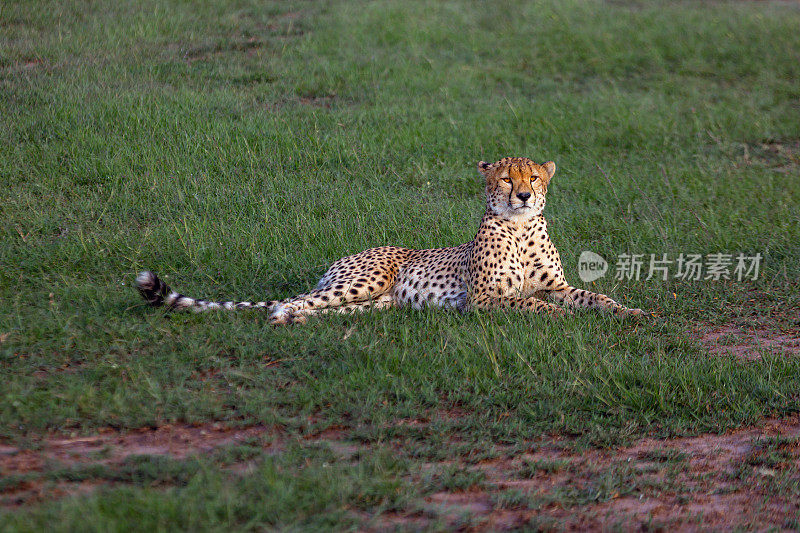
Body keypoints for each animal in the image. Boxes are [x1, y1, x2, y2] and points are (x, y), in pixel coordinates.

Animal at [134, 156, 640, 322]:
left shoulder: (557, 284)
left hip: (376, 303)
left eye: (533, 177)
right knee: (288, 301)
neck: (518, 228)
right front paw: (559, 316)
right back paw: (281, 318)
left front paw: (627, 311)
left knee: (323, 310)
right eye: (505, 178)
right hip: (365, 280)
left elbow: (591, 296)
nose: (522, 195)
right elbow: (530, 302)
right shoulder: (481, 300)